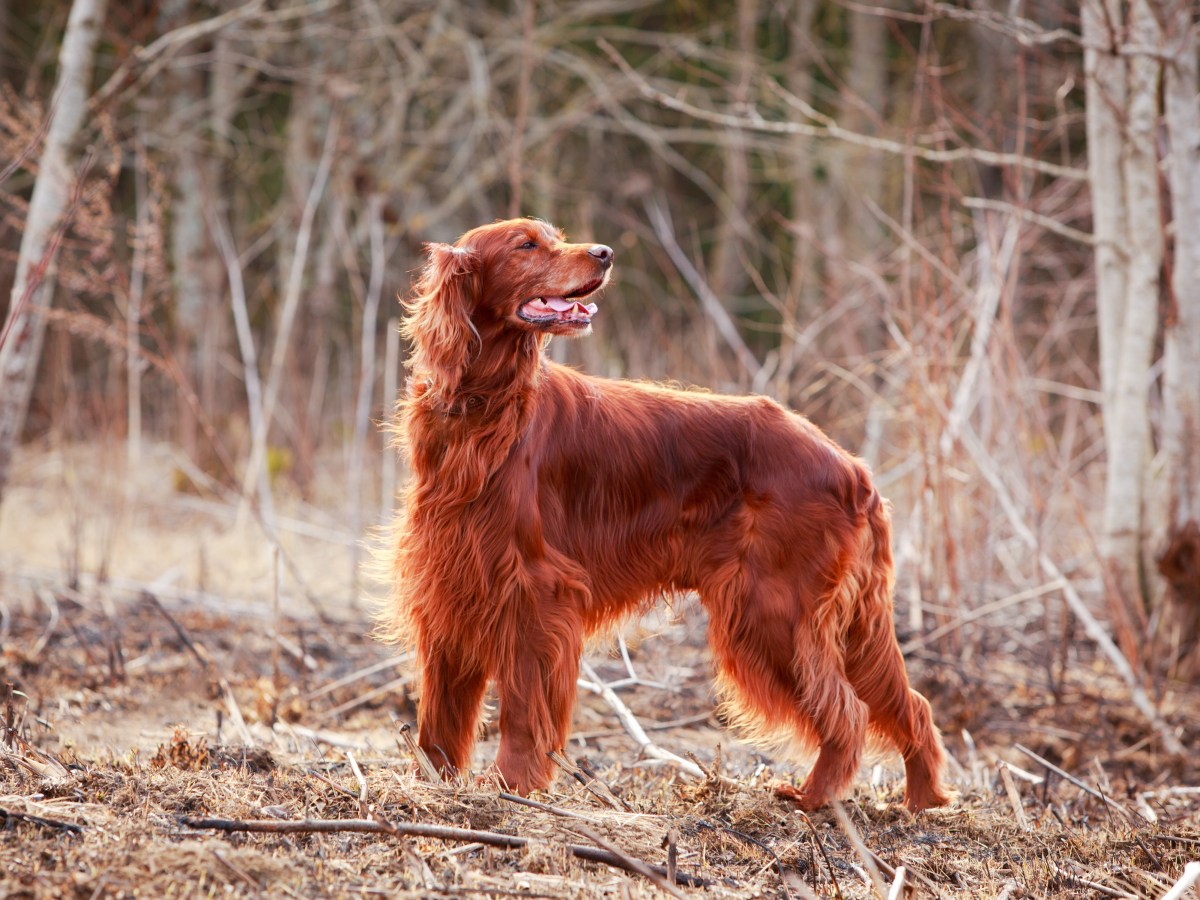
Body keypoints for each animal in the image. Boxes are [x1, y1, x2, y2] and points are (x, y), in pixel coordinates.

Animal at [384, 220, 945, 816]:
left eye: (551, 236)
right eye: (526, 245)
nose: (604, 252)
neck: (485, 408)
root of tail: (852, 466)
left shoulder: (536, 592)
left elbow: (522, 708)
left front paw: (512, 786)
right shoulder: (450, 581)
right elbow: (439, 713)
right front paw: (431, 780)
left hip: (773, 611)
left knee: (849, 711)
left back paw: (813, 796)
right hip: (837, 620)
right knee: (912, 705)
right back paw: (925, 798)